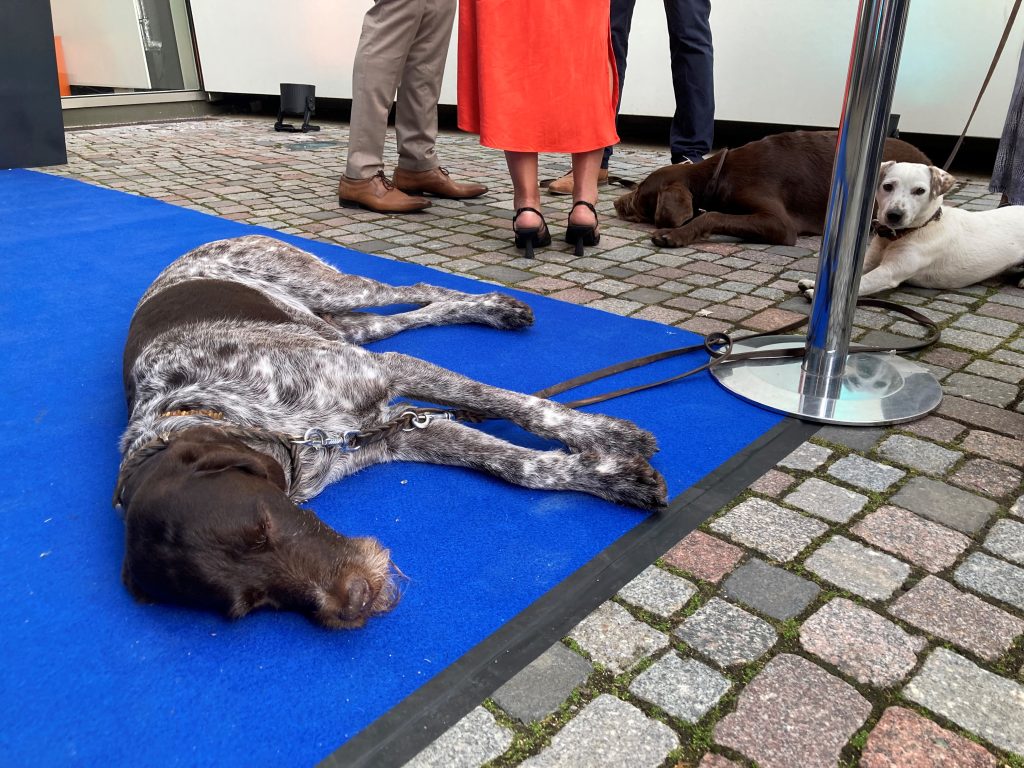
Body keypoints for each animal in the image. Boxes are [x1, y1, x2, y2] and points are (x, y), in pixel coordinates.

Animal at [117, 236, 663, 630]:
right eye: (250, 603)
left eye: (264, 525)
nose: (356, 602)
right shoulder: (398, 433)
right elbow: (518, 466)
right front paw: (610, 475)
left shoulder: (390, 374)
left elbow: (520, 410)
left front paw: (607, 436)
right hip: (346, 327)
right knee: (398, 318)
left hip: (330, 288)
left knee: (417, 288)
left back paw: (494, 306)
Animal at [610, 131, 933, 247]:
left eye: (640, 193)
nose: (615, 203)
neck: (719, 173)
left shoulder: (779, 224)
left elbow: (712, 215)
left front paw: (674, 234)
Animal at [798, 160, 1024, 299]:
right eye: (888, 186)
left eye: (920, 191)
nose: (894, 214)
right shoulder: (869, 261)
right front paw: (813, 283)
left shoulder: (890, 271)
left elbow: (862, 282)